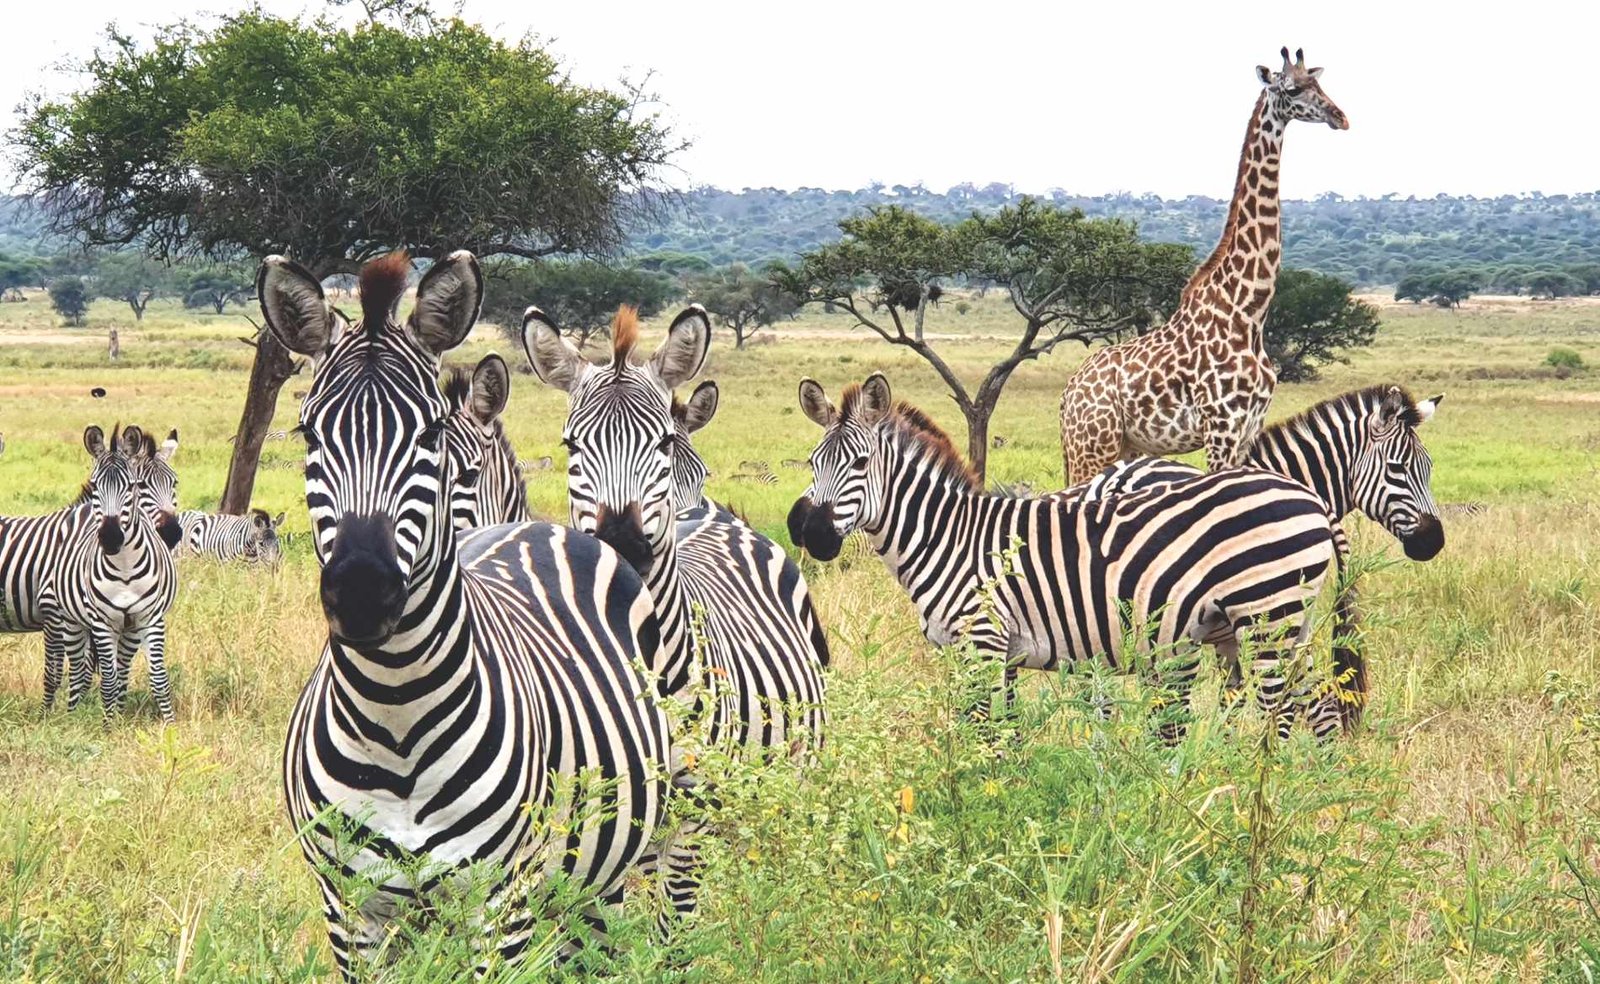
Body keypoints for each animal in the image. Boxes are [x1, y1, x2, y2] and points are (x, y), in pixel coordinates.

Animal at [524, 303, 829, 932]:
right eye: (570, 445)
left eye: (662, 442)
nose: (621, 543)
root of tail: (712, 515)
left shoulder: (693, 815)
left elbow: (672, 932)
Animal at [789, 372, 1343, 740]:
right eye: (813, 462)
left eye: (861, 463)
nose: (810, 532)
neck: (947, 537)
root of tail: (1307, 496)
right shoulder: (991, 653)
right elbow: (1004, 734)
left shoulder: (983, 643)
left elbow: (982, 733)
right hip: (1287, 622)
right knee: (1318, 706)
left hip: (1268, 616)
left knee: (1283, 710)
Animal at [1059, 47, 1348, 484]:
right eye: (1294, 88)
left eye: (1319, 83)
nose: (1340, 116)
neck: (1249, 311)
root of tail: (1067, 397)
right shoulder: (1221, 426)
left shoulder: (1249, 427)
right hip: (1091, 446)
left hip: (1120, 446)